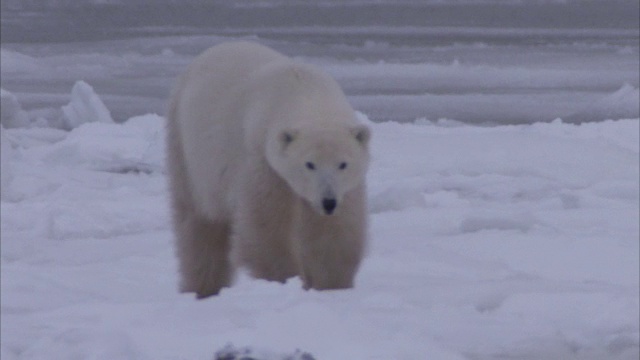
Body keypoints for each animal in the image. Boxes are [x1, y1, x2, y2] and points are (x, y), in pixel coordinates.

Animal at [166, 41, 370, 298]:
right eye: (309, 164)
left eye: (343, 164)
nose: (328, 202)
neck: (306, 93)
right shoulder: (261, 160)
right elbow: (265, 229)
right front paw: (286, 279)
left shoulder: (345, 188)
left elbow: (334, 232)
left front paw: (332, 286)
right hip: (187, 149)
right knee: (199, 222)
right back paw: (203, 287)